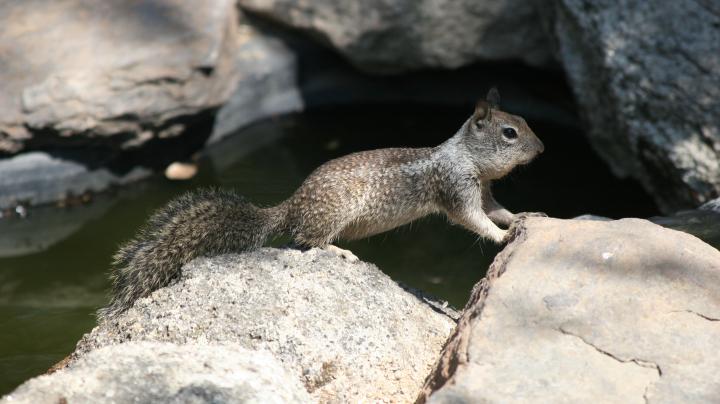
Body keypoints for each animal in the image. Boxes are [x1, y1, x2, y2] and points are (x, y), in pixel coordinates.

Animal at [97, 89, 544, 322]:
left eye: (525, 121)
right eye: (509, 132)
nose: (541, 148)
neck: (467, 157)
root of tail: (290, 206)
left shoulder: (483, 189)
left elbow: (495, 209)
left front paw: (523, 216)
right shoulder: (456, 188)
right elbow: (472, 219)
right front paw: (500, 235)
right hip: (333, 214)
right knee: (306, 240)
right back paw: (339, 252)